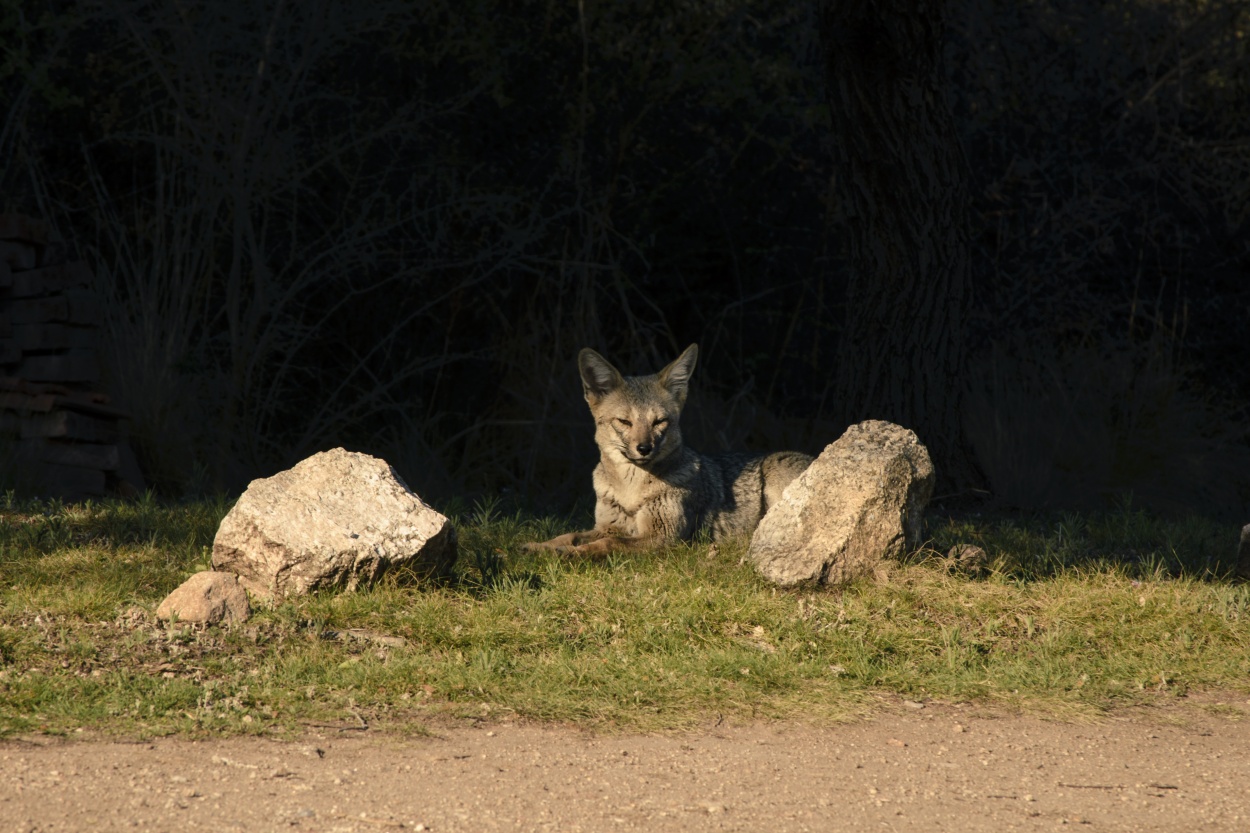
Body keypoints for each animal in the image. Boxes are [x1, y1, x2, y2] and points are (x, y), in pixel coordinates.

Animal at [525, 340, 810, 555]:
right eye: (625, 421)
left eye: (659, 421)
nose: (644, 448)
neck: (630, 492)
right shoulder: (607, 525)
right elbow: (571, 534)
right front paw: (540, 547)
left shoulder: (663, 536)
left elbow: (606, 544)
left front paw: (570, 555)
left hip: (774, 474)